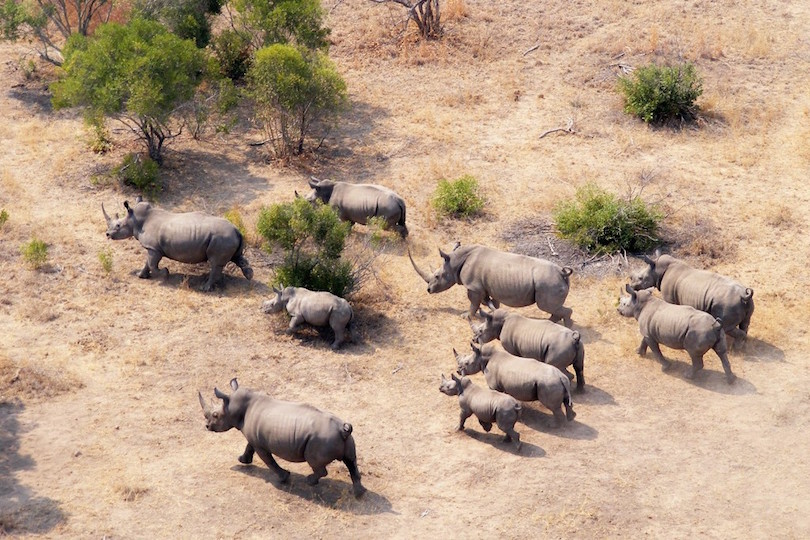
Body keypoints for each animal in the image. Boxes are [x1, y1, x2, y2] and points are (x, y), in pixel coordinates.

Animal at [102, 198, 251, 292]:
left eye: (118, 225)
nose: (107, 234)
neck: (136, 221)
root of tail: (237, 230)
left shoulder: (154, 248)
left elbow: (152, 264)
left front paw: (165, 273)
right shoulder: (152, 248)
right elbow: (147, 263)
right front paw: (140, 275)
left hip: (221, 238)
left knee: (215, 263)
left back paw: (205, 288)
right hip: (228, 238)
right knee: (236, 257)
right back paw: (249, 276)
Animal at [199, 376, 362, 498]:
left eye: (215, 415)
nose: (207, 426)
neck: (235, 408)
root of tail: (342, 429)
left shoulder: (260, 444)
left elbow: (268, 460)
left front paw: (284, 477)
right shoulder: (254, 438)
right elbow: (249, 446)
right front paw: (242, 460)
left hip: (320, 441)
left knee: (317, 464)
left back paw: (309, 481)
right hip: (345, 439)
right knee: (351, 461)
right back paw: (359, 493)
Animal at [408, 244, 572, 324]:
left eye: (437, 276)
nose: (428, 289)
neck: (456, 261)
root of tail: (563, 273)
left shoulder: (473, 286)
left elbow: (473, 303)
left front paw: (465, 316)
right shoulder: (489, 286)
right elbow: (493, 302)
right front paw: (492, 311)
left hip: (548, 284)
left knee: (545, 306)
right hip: (551, 283)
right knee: (552, 308)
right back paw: (551, 324)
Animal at [624, 250, 752, 346]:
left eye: (640, 278)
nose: (632, 286)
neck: (657, 270)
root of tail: (744, 295)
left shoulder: (669, 299)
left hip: (728, 304)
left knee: (727, 327)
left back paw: (735, 349)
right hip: (744, 303)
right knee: (745, 323)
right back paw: (741, 347)